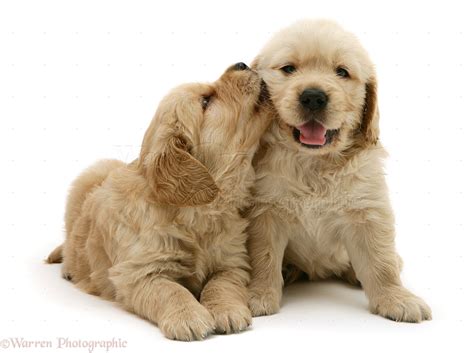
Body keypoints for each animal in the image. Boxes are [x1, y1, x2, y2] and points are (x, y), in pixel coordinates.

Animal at [47, 62, 274, 340]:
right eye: (206, 100)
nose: (241, 64)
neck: (197, 213)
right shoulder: (138, 272)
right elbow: (170, 290)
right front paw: (188, 317)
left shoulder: (232, 261)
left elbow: (222, 284)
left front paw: (228, 310)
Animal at [246, 20, 432, 322]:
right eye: (288, 69)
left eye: (342, 72)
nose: (313, 97)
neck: (314, 163)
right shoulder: (264, 211)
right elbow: (263, 257)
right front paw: (257, 295)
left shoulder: (368, 210)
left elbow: (381, 262)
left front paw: (397, 298)